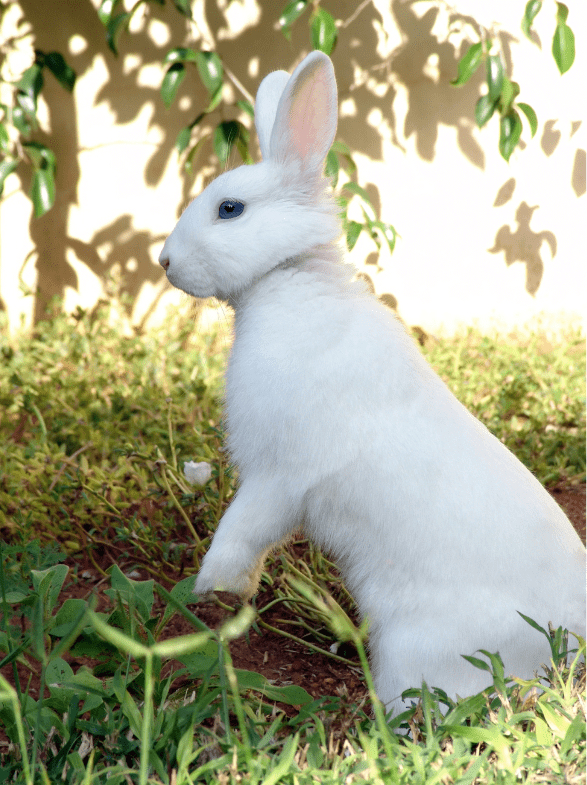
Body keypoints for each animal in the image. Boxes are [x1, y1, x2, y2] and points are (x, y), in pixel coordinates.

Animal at [158, 51, 586, 714]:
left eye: (230, 209)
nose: (165, 262)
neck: (291, 282)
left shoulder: (278, 477)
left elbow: (241, 535)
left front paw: (210, 595)